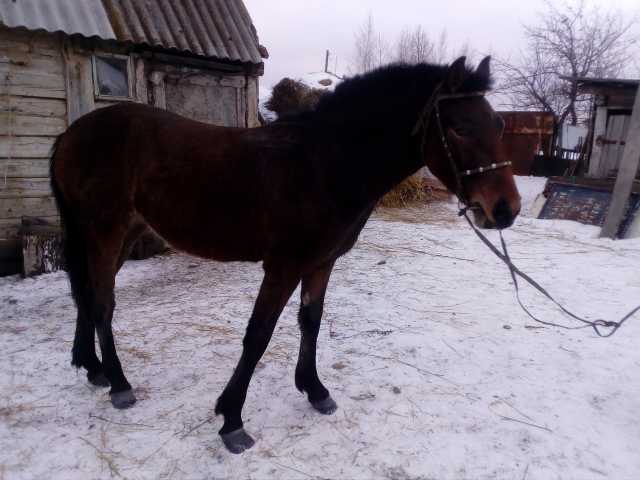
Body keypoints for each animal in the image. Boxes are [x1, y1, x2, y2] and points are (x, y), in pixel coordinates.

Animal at [50, 57, 520, 454]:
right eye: (458, 128)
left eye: (498, 124)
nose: (505, 209)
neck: (325, 163)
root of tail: (71, 134)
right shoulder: (284, 266)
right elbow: (258, 335)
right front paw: (232, 420)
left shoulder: (322, 262)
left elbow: (310, 321)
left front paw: (315, 390)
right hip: (104, 231)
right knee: (102, 303)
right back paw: (119, 383)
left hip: (121, 233)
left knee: (88, 295)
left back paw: (94, 369)